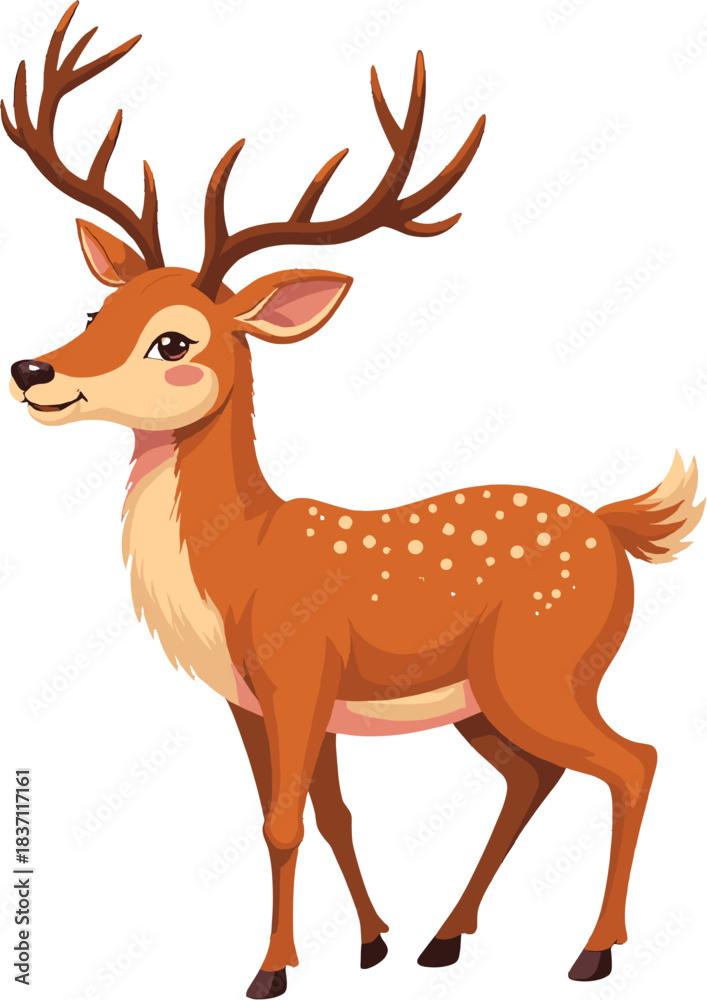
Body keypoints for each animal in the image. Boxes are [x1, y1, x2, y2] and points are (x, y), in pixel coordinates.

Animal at [4, 4, 703, 998]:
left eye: (173, 340)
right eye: (99, 310)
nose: (33, 371)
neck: (237, 568)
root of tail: (616, 532)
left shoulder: (298, 671)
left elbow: (283, 822)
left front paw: (270, 971)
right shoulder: (254, 702)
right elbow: (323, 812)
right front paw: (371, 943)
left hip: (542, 666)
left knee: (631, 760)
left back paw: (593, 951)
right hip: (484, 698)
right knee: (530, 778)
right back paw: (445, 938)